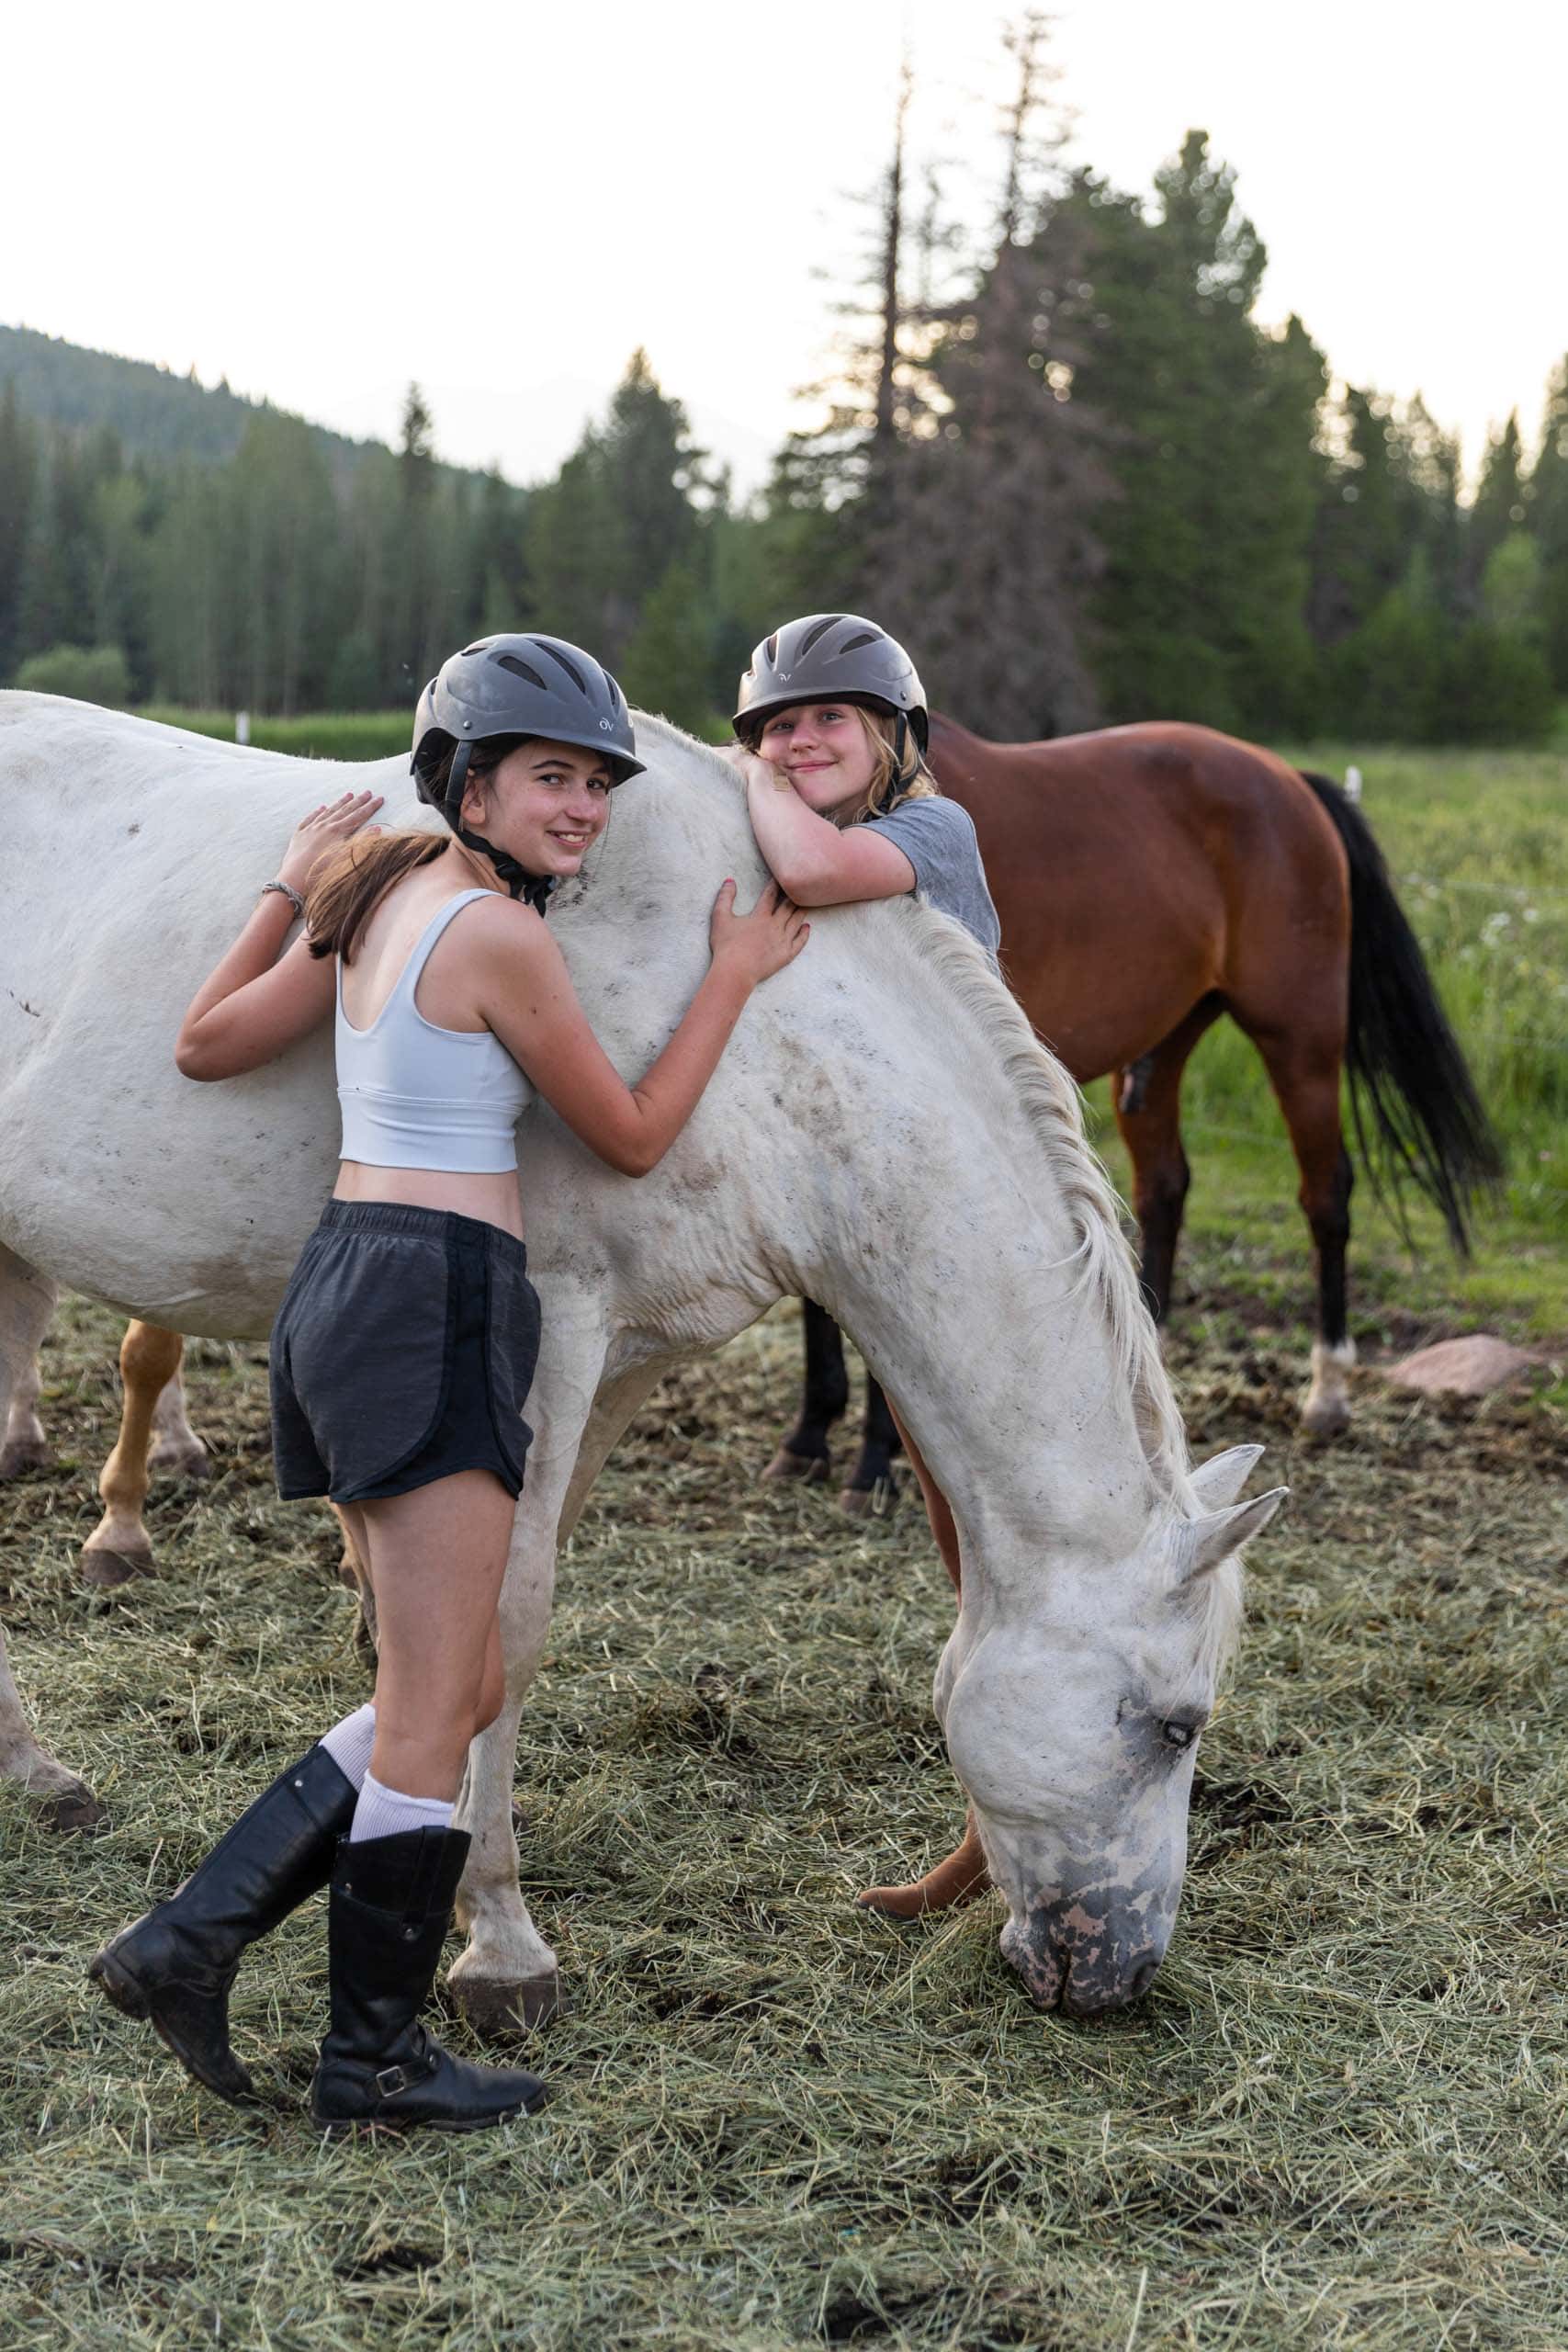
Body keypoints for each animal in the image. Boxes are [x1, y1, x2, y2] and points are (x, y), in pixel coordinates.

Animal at [773, 714, 1503, 1508]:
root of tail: (1287, 780)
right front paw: (810, 1435)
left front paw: (874, 1461)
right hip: (1163, 1045)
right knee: (1164, 1187)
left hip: (1299, 1038)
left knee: (1325, 1196)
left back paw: (1326, 1391)